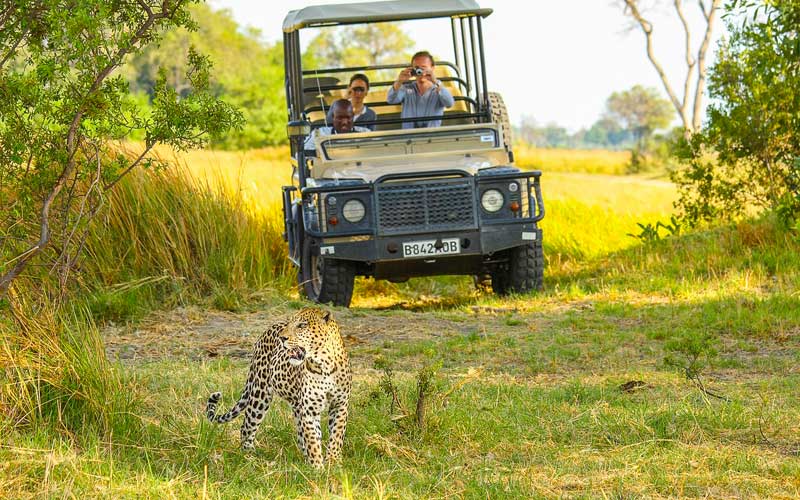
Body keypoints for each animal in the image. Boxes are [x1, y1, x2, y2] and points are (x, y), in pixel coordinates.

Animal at [206, 306, 354, 466]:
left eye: (302, 325)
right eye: (291, 324)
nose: (282, 338)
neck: (324, 364)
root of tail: (267, 330)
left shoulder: (340, 405)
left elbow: (336, 435)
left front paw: (333, 462)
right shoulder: (309, 409)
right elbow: (313, 440)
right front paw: (317, 466)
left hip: (295, 404)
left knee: (300, 433)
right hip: (260, 393)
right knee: (246, 426)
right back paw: (249, 455)